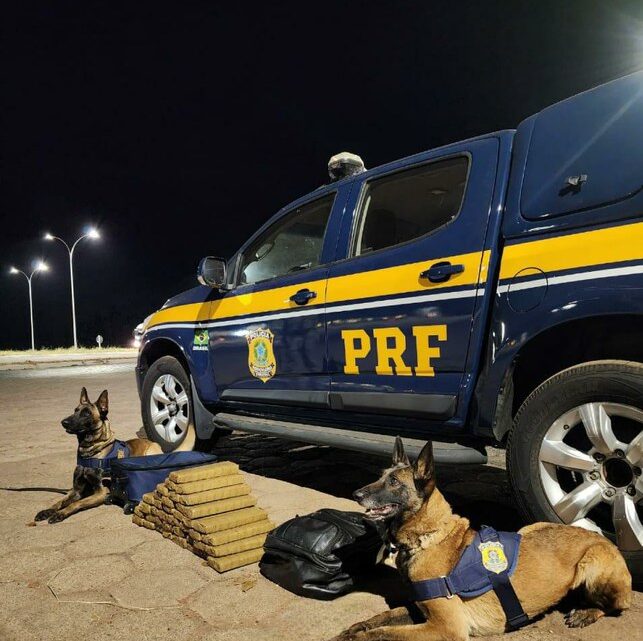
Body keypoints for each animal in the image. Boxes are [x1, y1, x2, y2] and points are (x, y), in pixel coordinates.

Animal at [34, 388, 194, 524]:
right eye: (75, 410)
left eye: (86, 413)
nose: (64, 422)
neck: (90, 453)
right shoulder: (76, 490)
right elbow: (60, 501)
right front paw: (48, 511)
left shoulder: (101, 493)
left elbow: (77, 503)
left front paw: (60, 514)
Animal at [338, 440, 632, 640]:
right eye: (380, 477)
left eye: (394, 483)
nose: (356, 494)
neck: (429, 537)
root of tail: (601, 537)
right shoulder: (422, 609)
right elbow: (385, 616)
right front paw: (355, 627)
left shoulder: (446, 627)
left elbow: (385, 632)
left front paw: (356, 636)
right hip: (529, 528)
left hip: (594, 564)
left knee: (618, 606)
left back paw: (586, 612)